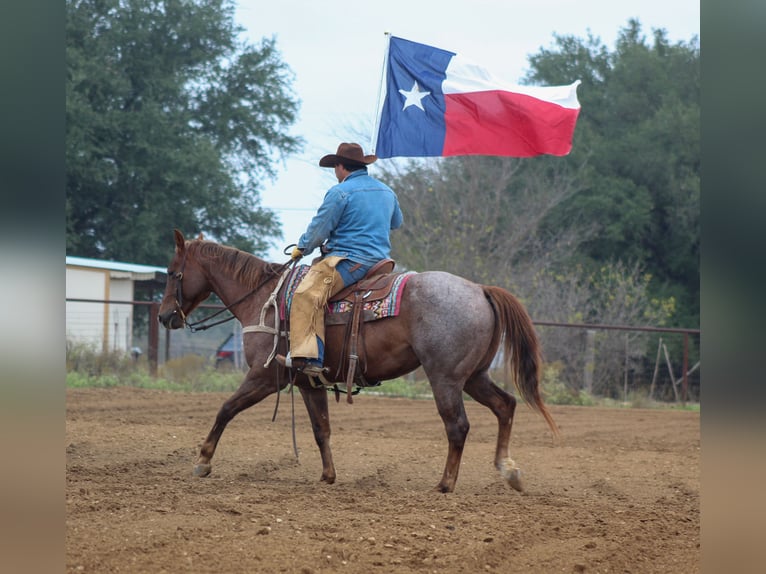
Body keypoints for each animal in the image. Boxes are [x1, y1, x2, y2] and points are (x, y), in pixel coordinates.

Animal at [158, 230, 558, 493]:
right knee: (505, 406)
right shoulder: (307, 382)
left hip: (445, 378)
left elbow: (226, 409)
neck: (264, 299)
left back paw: (445, 484)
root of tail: (479, 290)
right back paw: (509, 471)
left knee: (458, 426)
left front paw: (203, 461)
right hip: (473, 376)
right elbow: (321, 429)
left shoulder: (265, 376)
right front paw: (328, 476)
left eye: (174, 272)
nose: (165, 317)